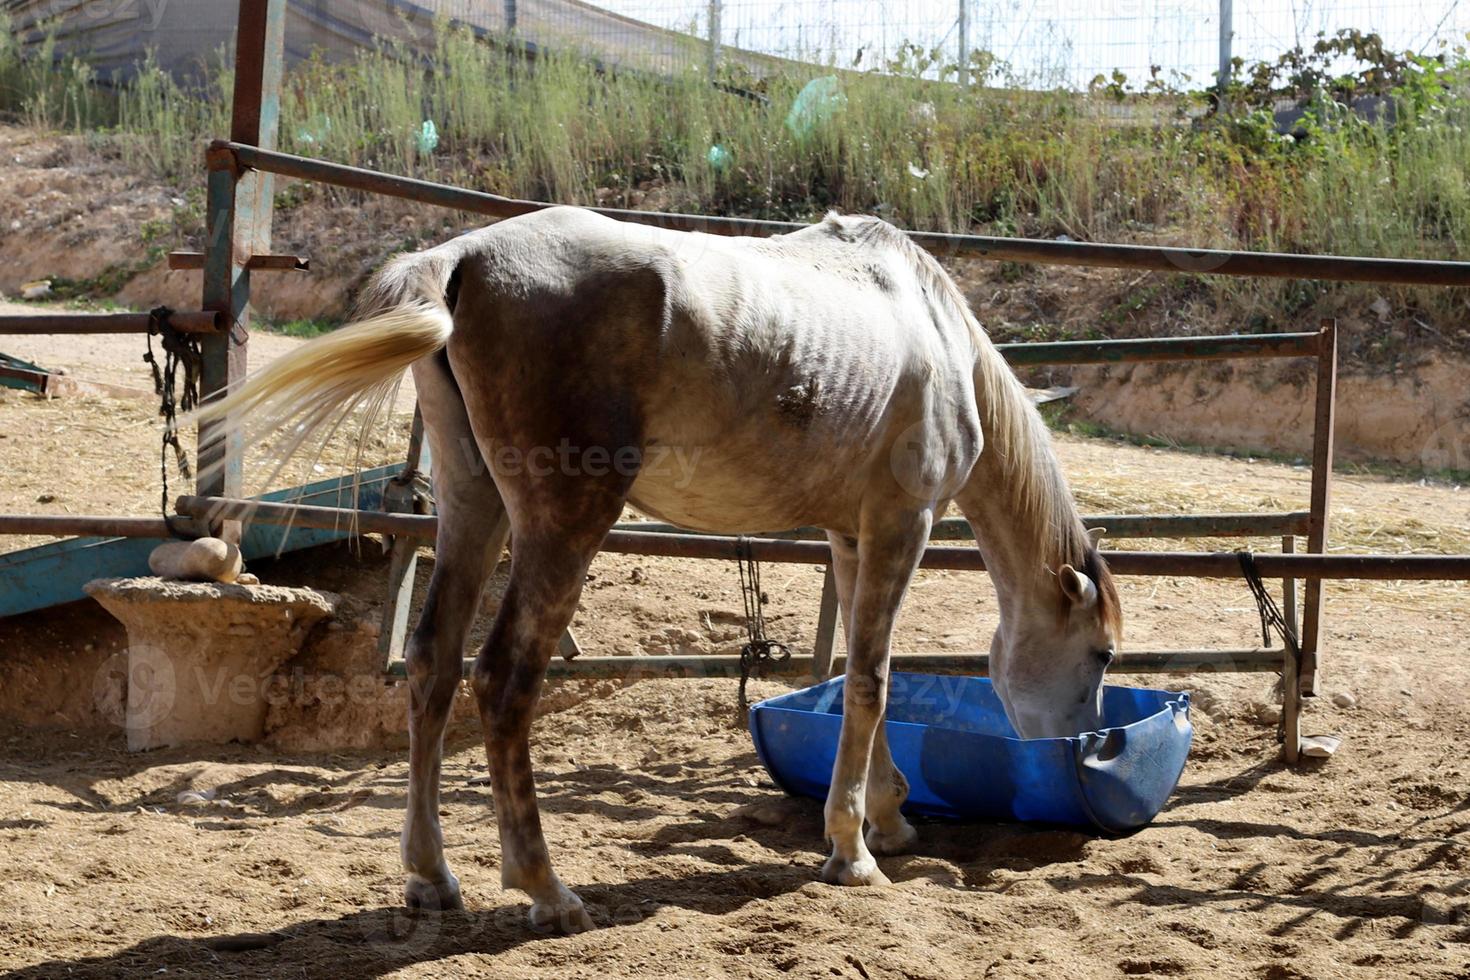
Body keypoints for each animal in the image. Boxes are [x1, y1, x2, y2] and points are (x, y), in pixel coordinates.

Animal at [198, 205, 1123, 934]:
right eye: (1103, 653)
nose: (1085, 743)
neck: (932, 329)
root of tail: (460, 260)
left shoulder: (853, 538)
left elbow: (866, 675)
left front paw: (882, 823)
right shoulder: (904, 525)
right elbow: (870, 680)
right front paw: (854, 855)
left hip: (472, 504)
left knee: (431, 663)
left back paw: (433, 879)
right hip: (563, 526)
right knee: (500, 679)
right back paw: (547, 891)